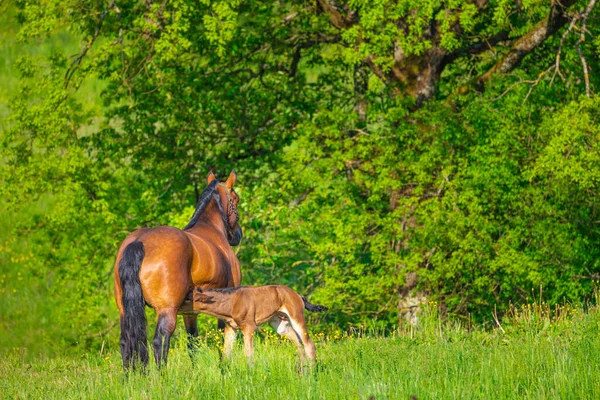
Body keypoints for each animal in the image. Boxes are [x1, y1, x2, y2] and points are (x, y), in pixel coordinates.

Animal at [113, 170, 243, 370]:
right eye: (235, 200)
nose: (238, 234)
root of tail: (139, 241)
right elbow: (223, 343)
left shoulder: (190, 312)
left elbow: (192, 344)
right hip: (167, 310)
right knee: (159, 342)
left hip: (124, 310)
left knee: (126, 342)